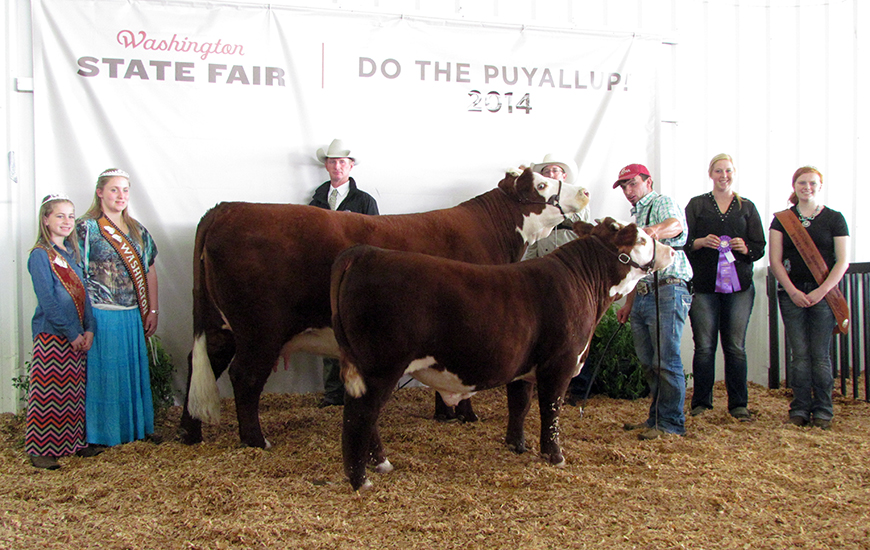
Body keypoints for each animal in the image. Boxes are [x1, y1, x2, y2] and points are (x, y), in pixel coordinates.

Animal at [184, 167, 592, 448]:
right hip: (260, 329)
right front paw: (463, 414)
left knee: (201, 361)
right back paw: (256, 440)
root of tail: (225, 209)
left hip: (220, 323)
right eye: (541, 185)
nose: (586, 191)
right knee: (244, 376)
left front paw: (444, 414)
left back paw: (190, 432)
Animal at [330, 219, 676, 492]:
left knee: (367, 416)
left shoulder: (524, 367)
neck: (584, 283)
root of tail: (364, 253)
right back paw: (361, 480)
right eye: (641, 238)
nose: (672, 251)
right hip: (380, 368)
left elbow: (520, 406)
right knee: (360, 416)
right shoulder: (559, 364)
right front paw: (555, 456)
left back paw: (382, 464)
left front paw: (517, 445)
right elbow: (551, 411)